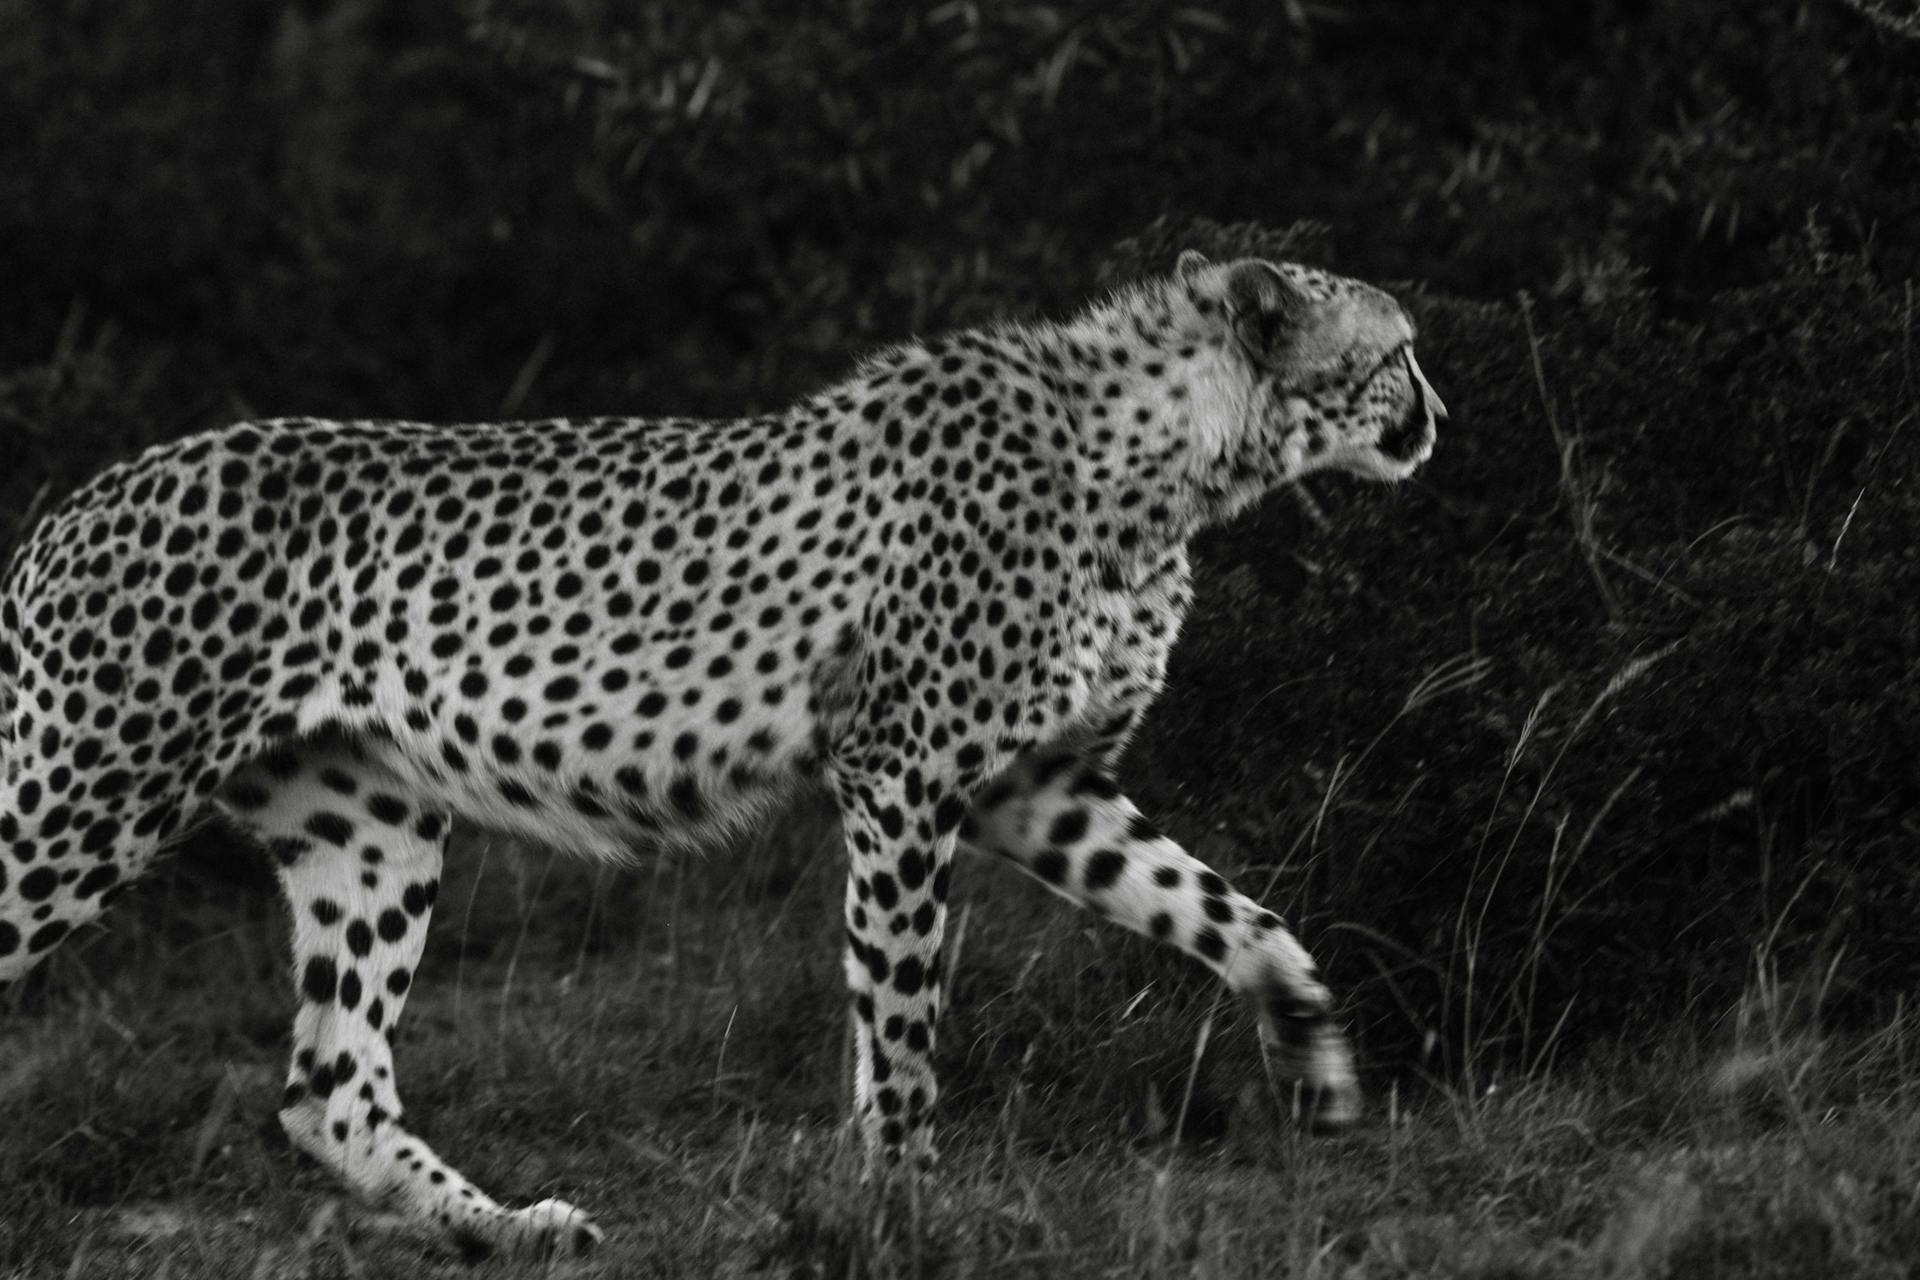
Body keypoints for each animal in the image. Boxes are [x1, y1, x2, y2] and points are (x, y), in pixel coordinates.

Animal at [0, 253, 1443, 1258]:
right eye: (1398, 355)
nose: (1437, 413)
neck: (1167, 459)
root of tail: (79, 498)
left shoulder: (1039, 791)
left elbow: (1234, 914)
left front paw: (1314, 1060)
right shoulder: (906, 776)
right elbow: (903, 1017)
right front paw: (906, 1206)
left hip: (366, 825)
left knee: (329, 1086)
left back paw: (508, 1231)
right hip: (78, 797)